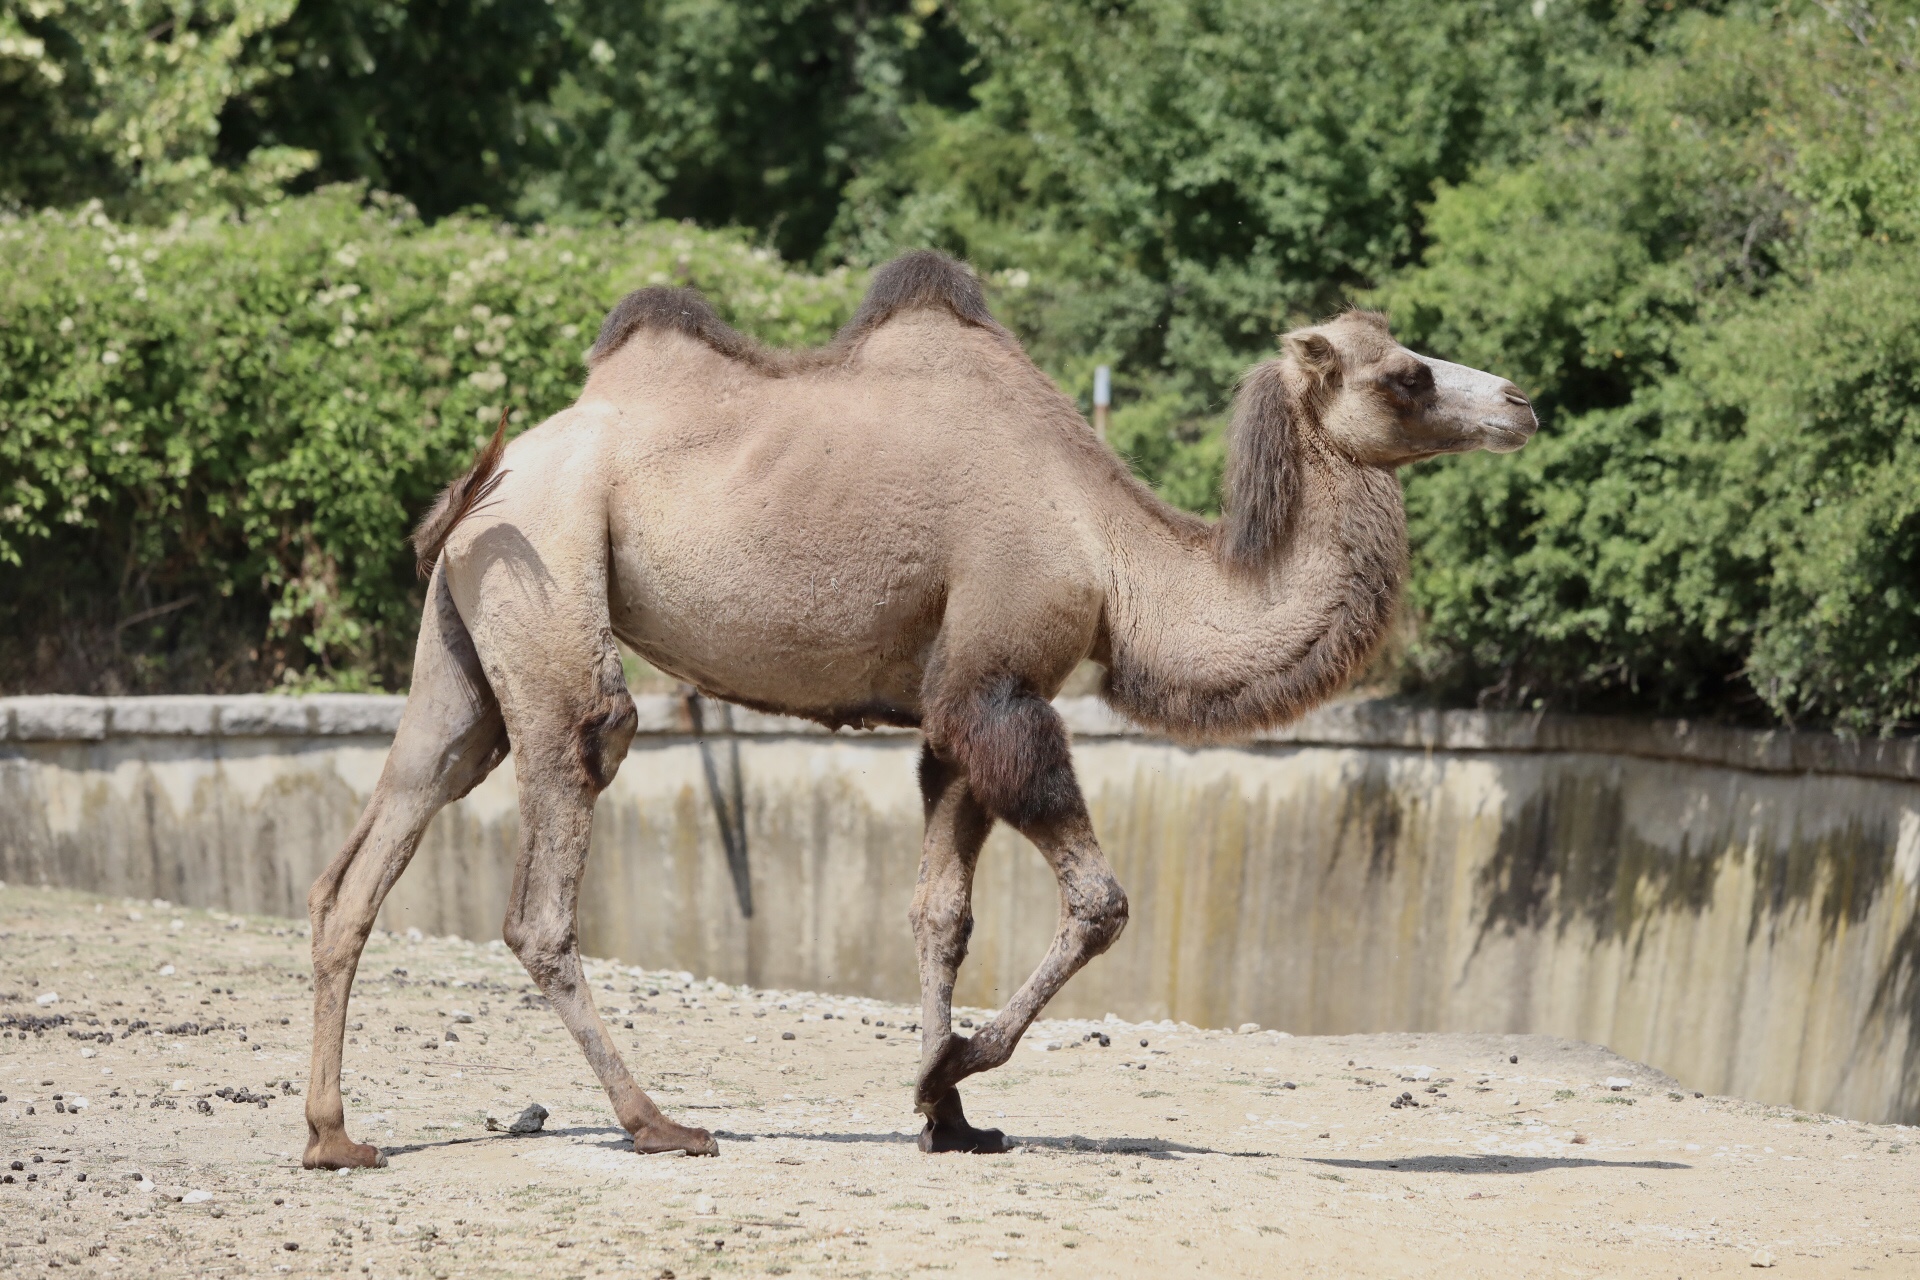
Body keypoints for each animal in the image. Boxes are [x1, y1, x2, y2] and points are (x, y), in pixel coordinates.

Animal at [295, 249, 1528, 1174]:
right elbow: (1101, 902)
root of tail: (482, 481)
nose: (1520, 401)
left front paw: (951, 1118)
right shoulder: (999, 685)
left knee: (375, 842)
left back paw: (334, 1136)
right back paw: (658, 1122)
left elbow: (942, 913)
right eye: (1407, 374)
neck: (1114, 553)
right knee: (550, 866)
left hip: (466, 639)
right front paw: (952, 1069)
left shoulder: (950, 715)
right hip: (555, 585)